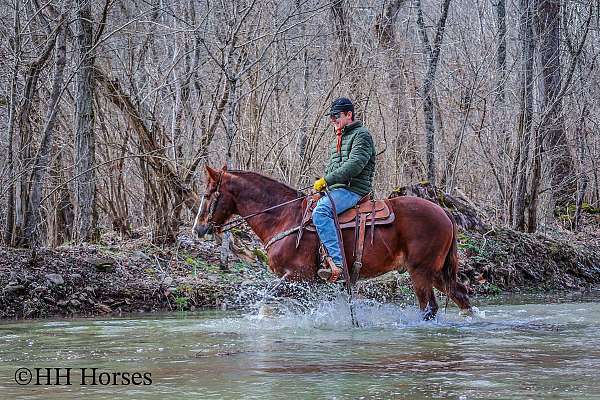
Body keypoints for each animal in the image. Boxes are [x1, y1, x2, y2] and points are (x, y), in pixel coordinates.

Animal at [195, 166, 472, 318]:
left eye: (208, 195)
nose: (197, 228)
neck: (284, 216)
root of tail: (444, 211)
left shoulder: (297, 276)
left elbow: (266, 301)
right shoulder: (303, 285)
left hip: (420, 272)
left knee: (429, 308)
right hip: (435, 272)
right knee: (460, 296)